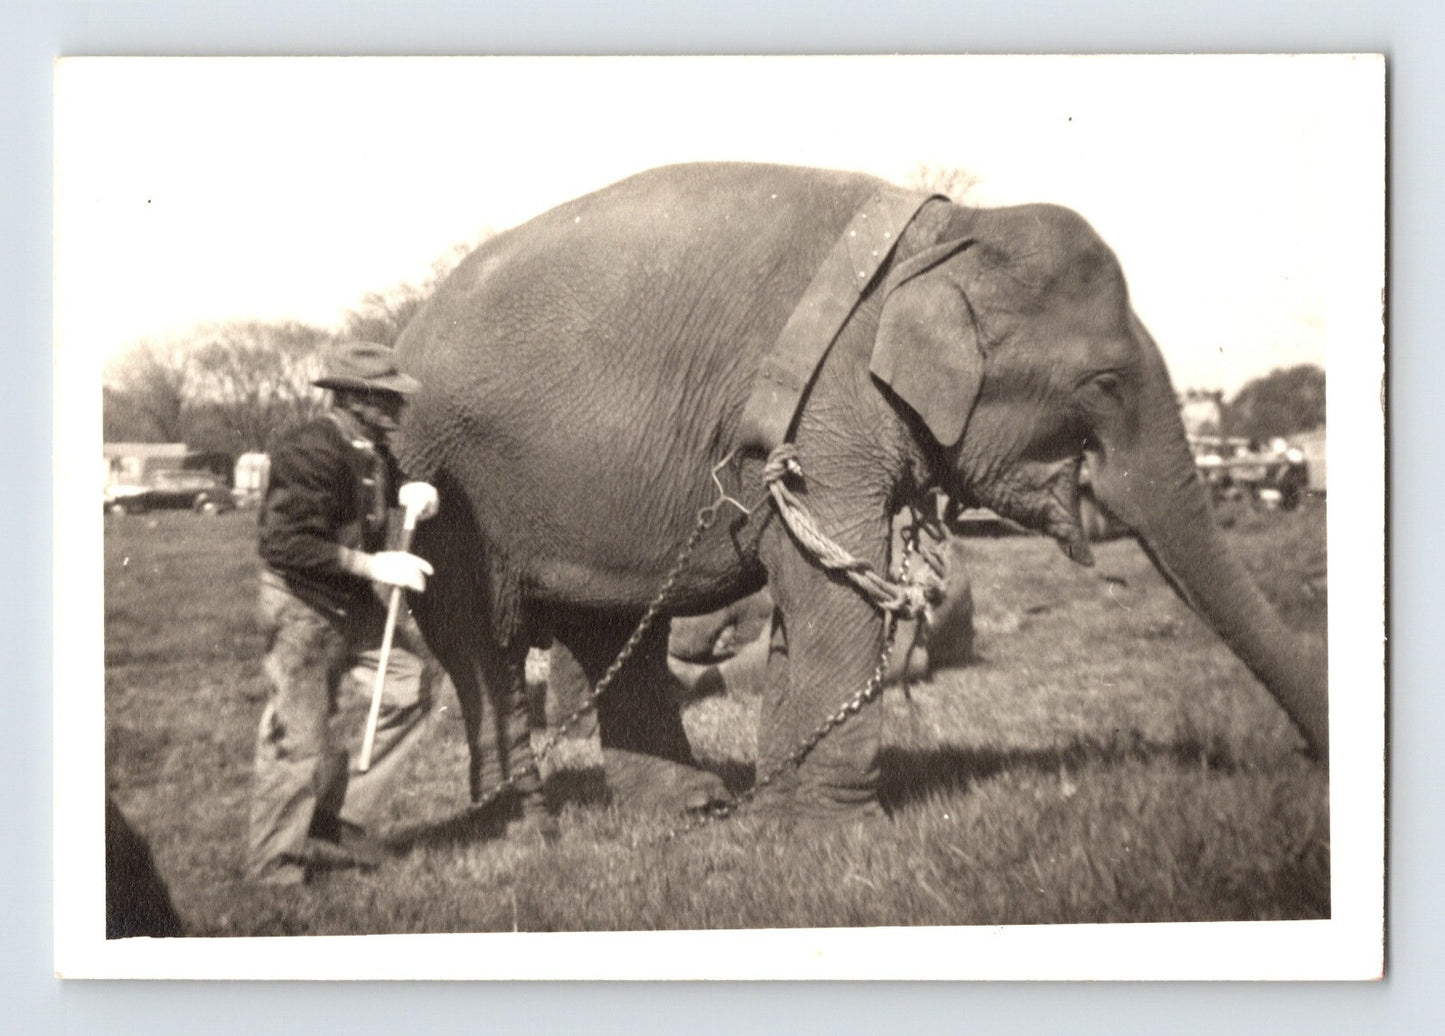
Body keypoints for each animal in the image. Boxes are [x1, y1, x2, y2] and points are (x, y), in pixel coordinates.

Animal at [394, 161, 1326, 822]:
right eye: (1103, 382)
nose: (1304, 764)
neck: (950, 235)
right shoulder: (827, 409)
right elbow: (833, 589)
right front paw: (841, 833)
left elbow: (810, 592)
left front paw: (780, 817)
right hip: (436, 478)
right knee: (481, 648)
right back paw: (524, 821)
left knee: (610, 632)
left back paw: (689, 809)